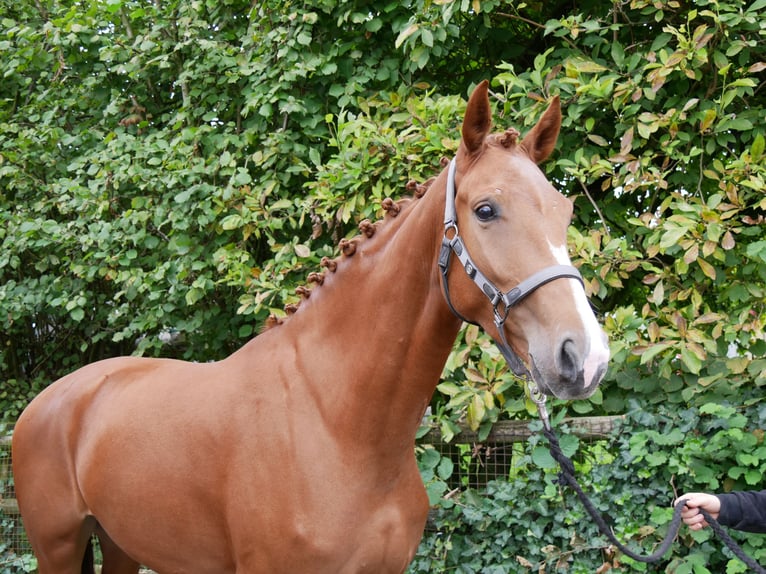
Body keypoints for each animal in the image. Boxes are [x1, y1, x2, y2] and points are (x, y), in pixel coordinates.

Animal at [12, 82, 612, 574]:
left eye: (564, 213)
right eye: (485, 210)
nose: (585, 356)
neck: (336, 423)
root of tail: (50, 401)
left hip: (120, 545)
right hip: (57, 549)